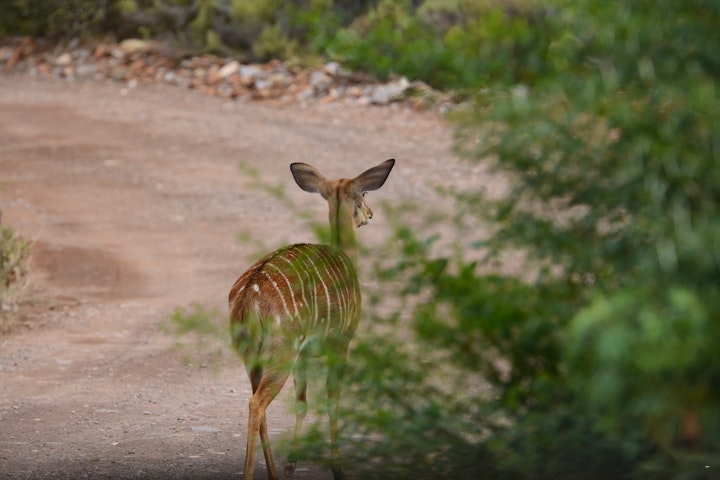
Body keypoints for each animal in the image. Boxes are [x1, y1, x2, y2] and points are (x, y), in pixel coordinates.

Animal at [229, 159, 394, 478]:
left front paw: (291, 464)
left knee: (258, 402)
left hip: (252, 355)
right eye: (363, 195)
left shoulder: (304, 355)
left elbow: (302, 402)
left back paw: (273, 473)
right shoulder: (342, 342)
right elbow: (332, 401)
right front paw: (337, 469)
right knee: (257, 403)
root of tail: (249, 298)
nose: (370, 215)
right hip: (281, 351)